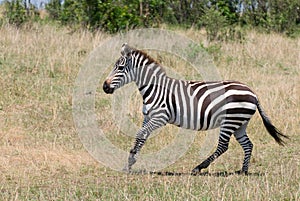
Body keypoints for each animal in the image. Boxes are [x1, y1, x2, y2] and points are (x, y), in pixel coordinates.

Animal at [103, 43, 288, 174]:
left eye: (120, 68)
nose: (105, 87)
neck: (155, 88)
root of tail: (253, 93)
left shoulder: (160, 117)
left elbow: (140, 134)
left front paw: (130, 160)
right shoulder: (148, 117)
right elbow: (142, 136)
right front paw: (130, 163)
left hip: (230, 120)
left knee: (223, 146)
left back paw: (198, 167)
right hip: (240, 123)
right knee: (248, 145)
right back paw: (243, 171)